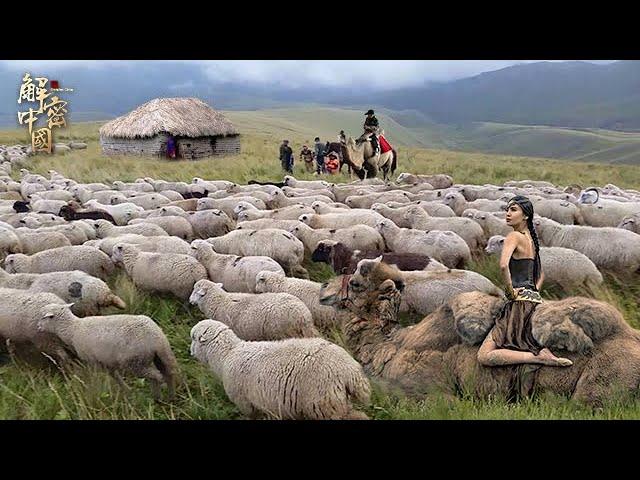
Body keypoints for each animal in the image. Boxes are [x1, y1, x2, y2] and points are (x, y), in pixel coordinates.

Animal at [189, 320, 370, 418]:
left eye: (193, 338)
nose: (189, 351)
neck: (227, 354)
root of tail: (350, 370)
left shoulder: (245, 404)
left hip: (323, 404)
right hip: (336, 402)